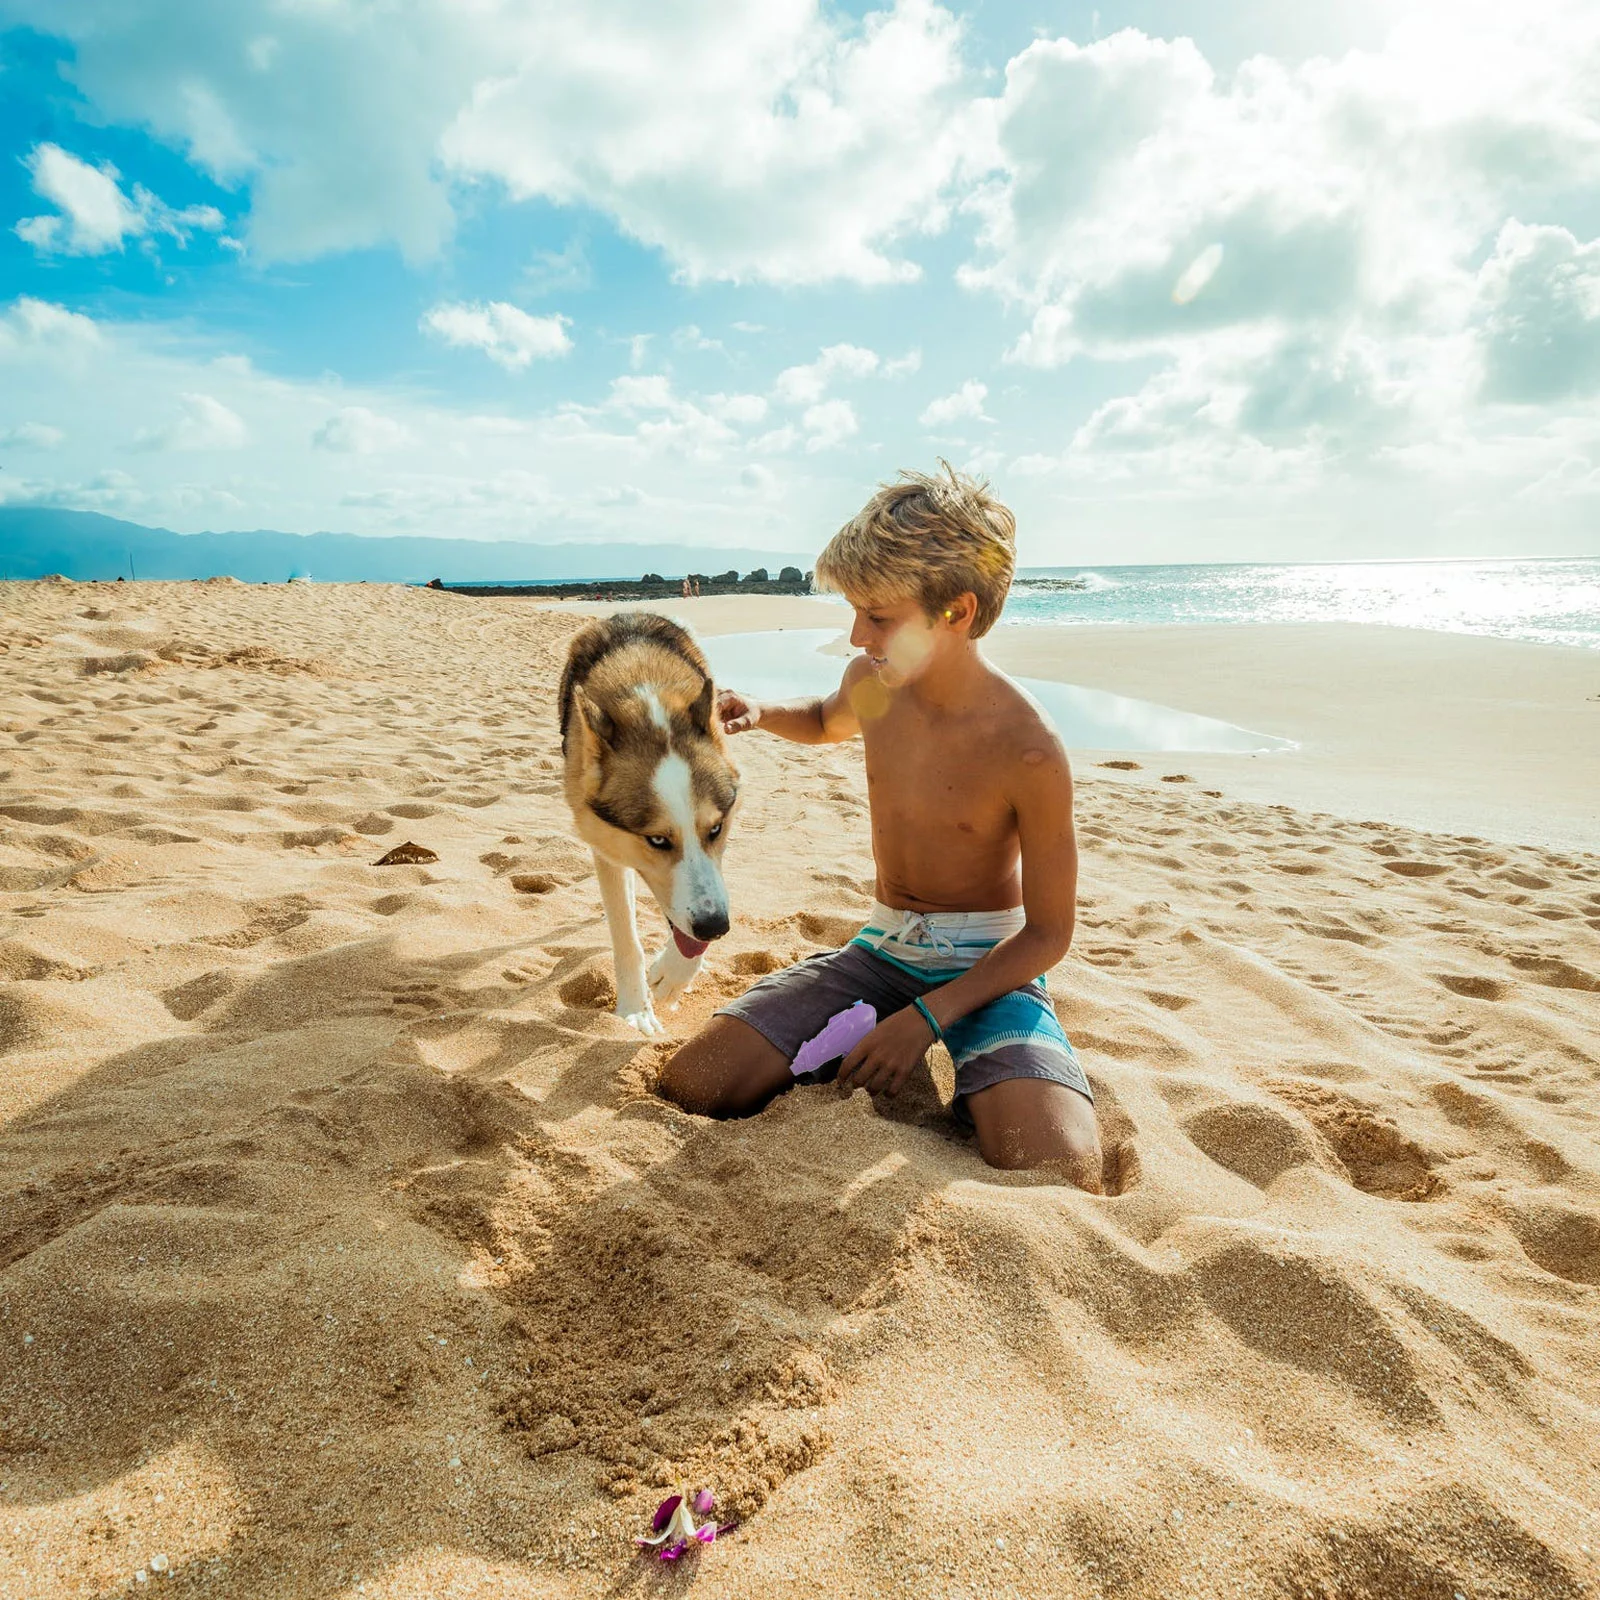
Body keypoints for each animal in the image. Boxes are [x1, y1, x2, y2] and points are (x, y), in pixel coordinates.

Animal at [560, 611, 739, 1036]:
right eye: (657, 840)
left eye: (715, 829)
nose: (716, 927)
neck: (648, 701)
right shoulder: (605, 846)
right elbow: (626, 937)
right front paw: (635, 1008)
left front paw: (675, 974)